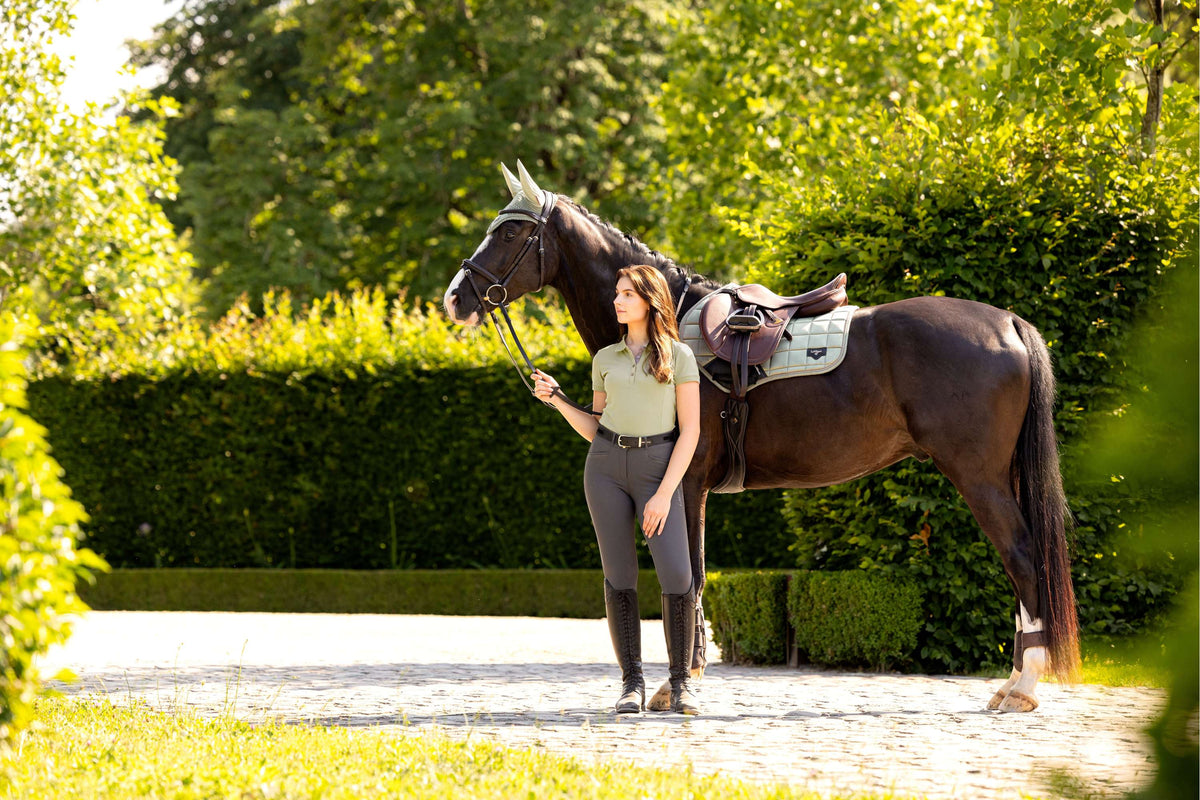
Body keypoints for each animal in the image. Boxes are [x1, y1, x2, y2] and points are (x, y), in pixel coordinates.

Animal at [441, 163, 1080, 714]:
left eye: (512, 231)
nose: (456, 298)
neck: (669, 328)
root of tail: (1007, 323)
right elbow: (693, 576)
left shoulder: (683, 485)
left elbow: (689, 576)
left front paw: (678, 687)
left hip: (979, 478)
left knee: (1023, 559)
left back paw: (1022, 687)